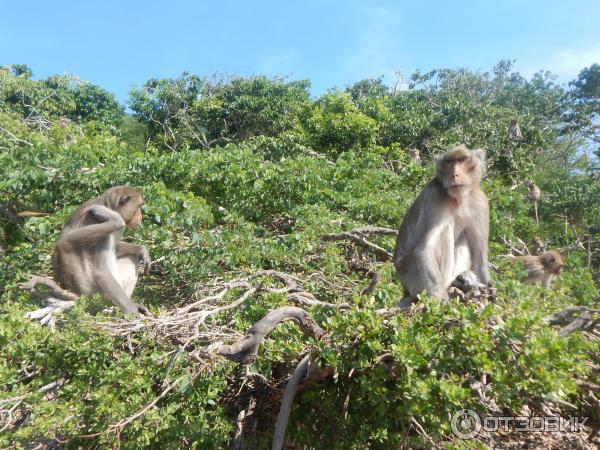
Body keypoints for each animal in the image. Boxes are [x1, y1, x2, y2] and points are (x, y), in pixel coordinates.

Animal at [52, 185, 151, 316]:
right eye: (139, 206)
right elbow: (101, 272)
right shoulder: (97, 223)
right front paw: (132, 310)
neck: (109, 207)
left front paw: (142, 250)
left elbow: (115, 247)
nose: (141, 217)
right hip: (98, 295)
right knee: (65, 243)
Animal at [394, 144, 488, 306]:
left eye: (462, 160)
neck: (458, 200)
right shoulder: (434, 197)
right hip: (411, 276)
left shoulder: (481, 204)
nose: (455, 174)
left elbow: (479, 257)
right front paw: (442, 304)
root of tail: (405, 290)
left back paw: (461, 279)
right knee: (445, 230)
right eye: (450, 162)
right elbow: (423, 249)